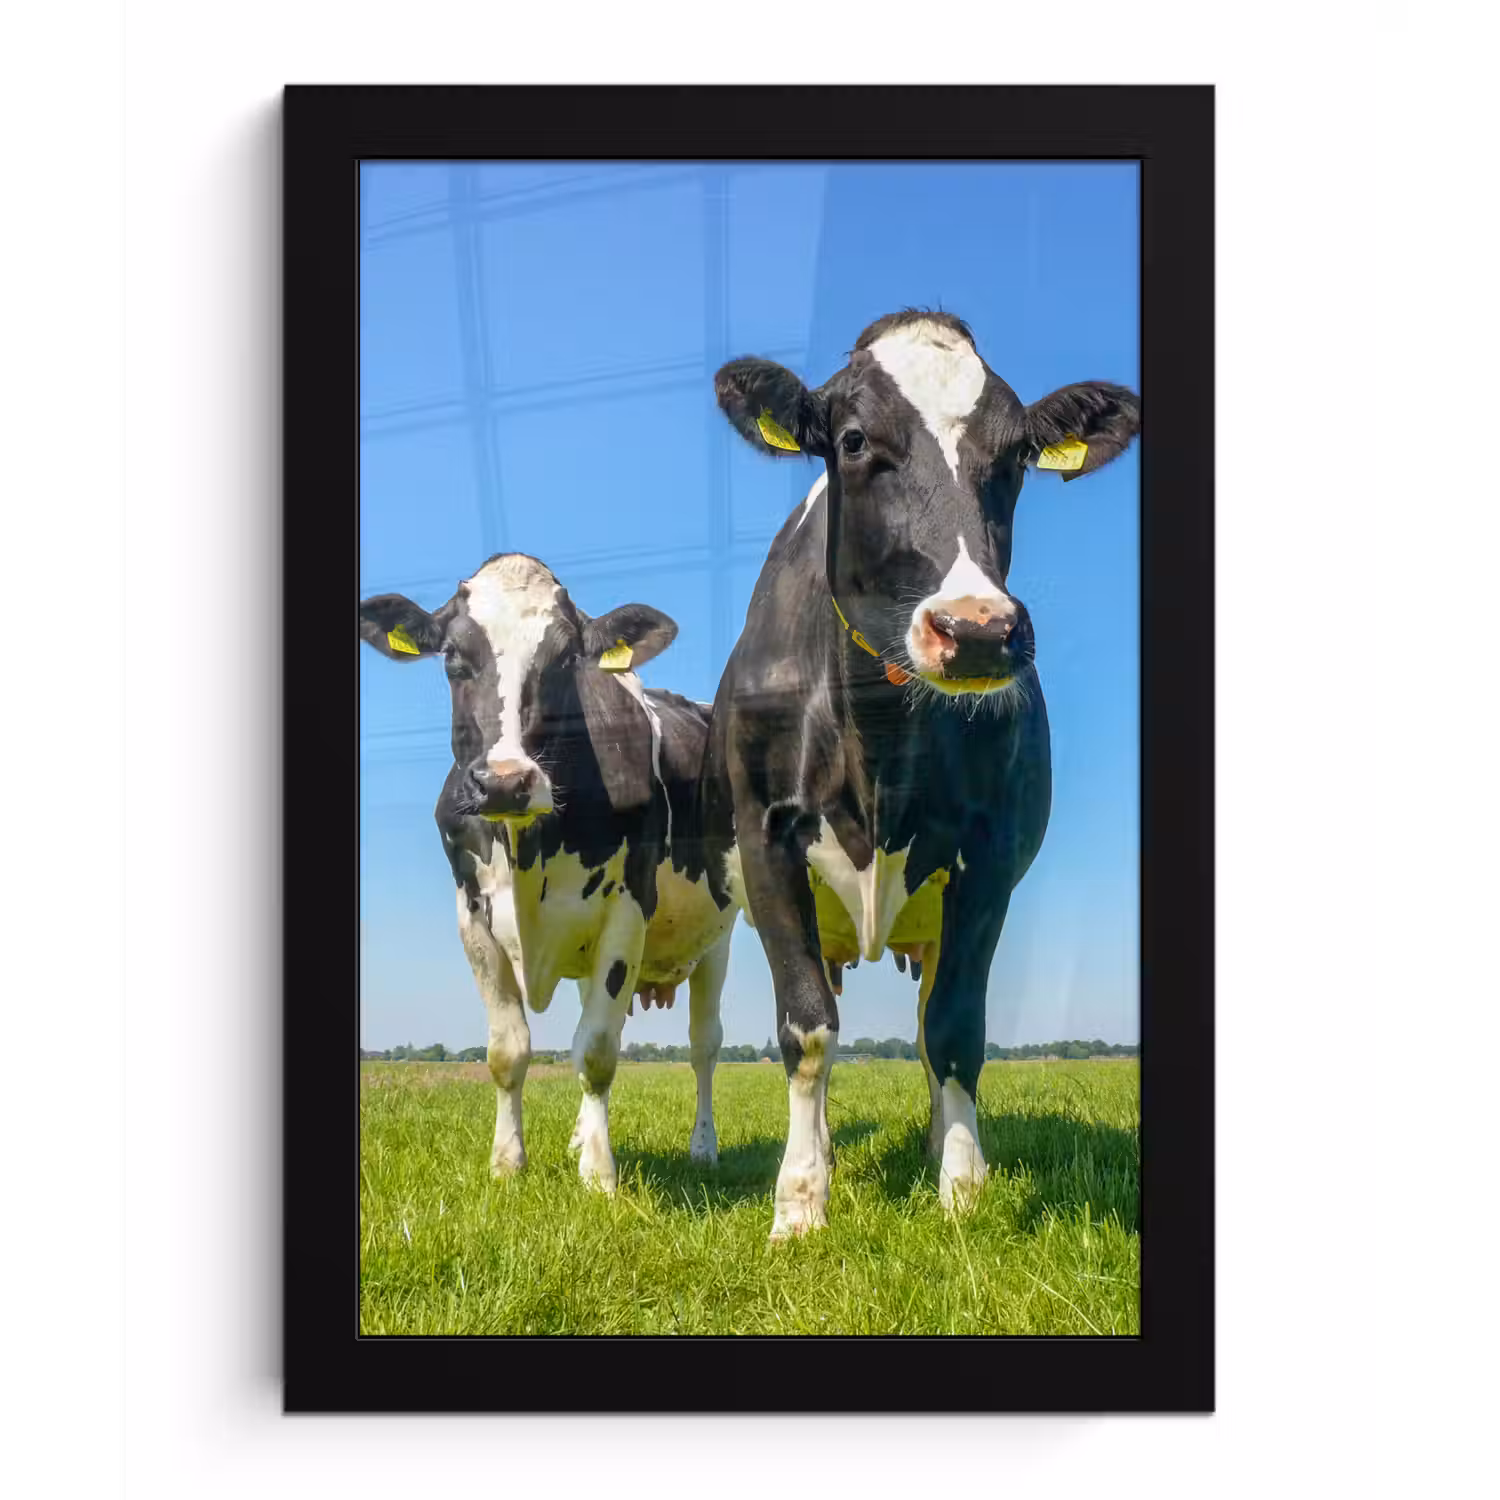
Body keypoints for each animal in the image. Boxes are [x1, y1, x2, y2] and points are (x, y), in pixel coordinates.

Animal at [359, 553, 737, 1194]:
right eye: (453, 657)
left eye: (566, 660)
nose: (505, 782)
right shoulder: (472, 919)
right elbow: (508, 1051)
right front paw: (508, 1162)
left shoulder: (626, 913)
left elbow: (599, 1050)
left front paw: (599, 1174)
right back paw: (580, 1135)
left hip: (719, 936)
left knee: (704, 1046)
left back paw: (704, 1148)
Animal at [696, 309, 1140, 1239]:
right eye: (855, 440)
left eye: (1015, 456)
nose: (975, 631)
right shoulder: (767, 843)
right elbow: (807, 1030)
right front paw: (800, 1201)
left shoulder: (987, 861)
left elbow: (955, 1030)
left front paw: (963, 1190)